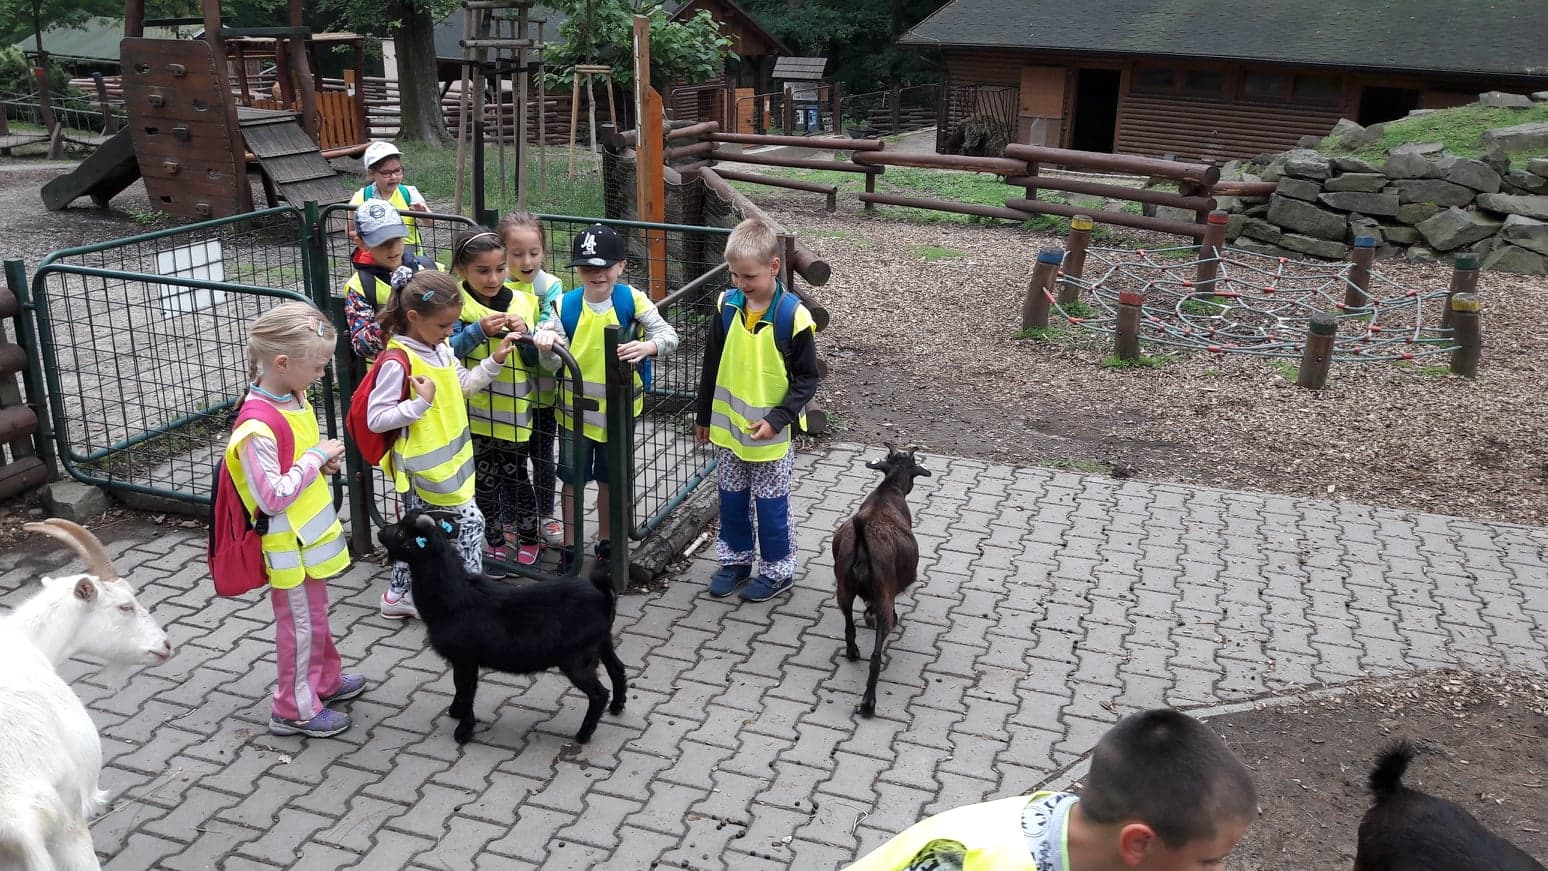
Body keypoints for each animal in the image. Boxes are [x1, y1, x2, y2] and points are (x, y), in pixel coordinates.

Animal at [378, 510, 627, 745]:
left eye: (401, 534)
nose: (381, 532)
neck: (451, 596)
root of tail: (603, 597)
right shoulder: (463, 660)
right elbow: (460, 687)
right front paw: (455, 711)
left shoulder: (465, 658)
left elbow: (466, 690)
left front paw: (463, 730)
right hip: (603, 643)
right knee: (617, 669)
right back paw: (617, 706)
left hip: (576, 658)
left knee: (598, 694)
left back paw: (583, 734)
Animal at [832, 444, 931, 718]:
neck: (887, 492)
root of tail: (862, 544)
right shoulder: (888, 591)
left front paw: (867, 614)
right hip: (882, 594)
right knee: (876, 656)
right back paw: (868, 703)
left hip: (843, 588)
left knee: (848, 625)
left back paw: (853, 652)